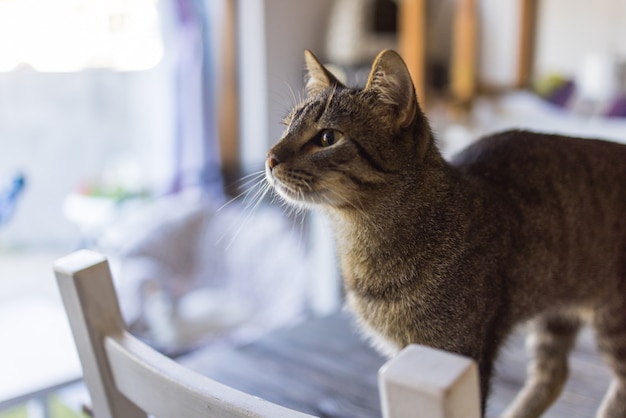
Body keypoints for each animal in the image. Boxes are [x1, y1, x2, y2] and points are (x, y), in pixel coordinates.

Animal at [264, 49, 624, 418]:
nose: (269, 157)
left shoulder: (457, 354)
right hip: (555, 315)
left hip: (614, 320)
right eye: (286, 128)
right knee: (553, 375)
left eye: (327, 138)